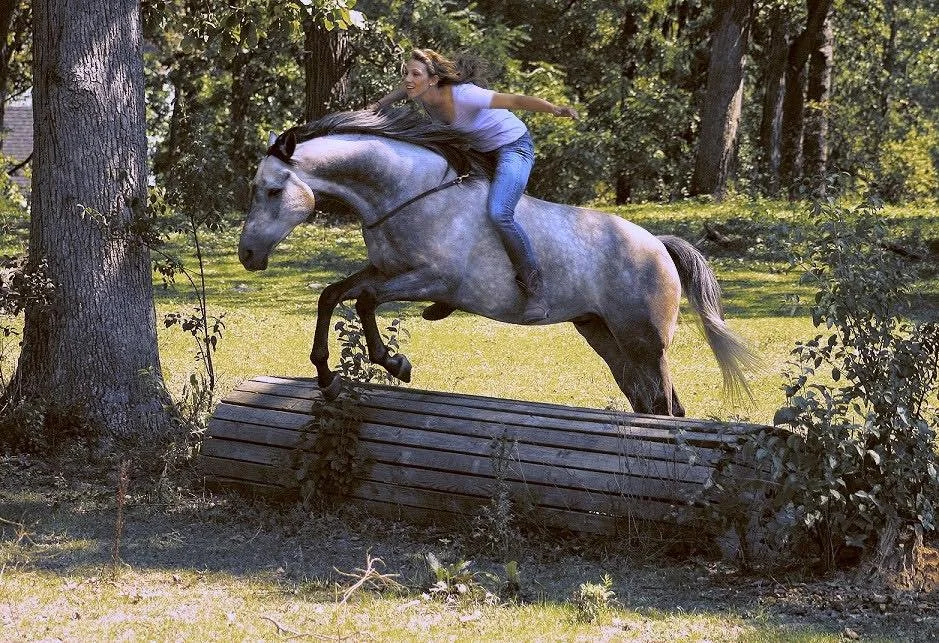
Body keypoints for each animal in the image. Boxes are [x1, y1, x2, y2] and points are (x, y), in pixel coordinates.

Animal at [237, 108, 757, 416]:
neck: (404, 194)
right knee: (647, 401)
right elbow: (332, 295)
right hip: (603, 334)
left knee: (666, 406)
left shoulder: (431, 280)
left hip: (644, 340)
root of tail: (658, 246)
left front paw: (395, 362)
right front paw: (326, 377)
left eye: (273, 190)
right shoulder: (387, 271)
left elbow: (364, 301)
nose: (247, 256)